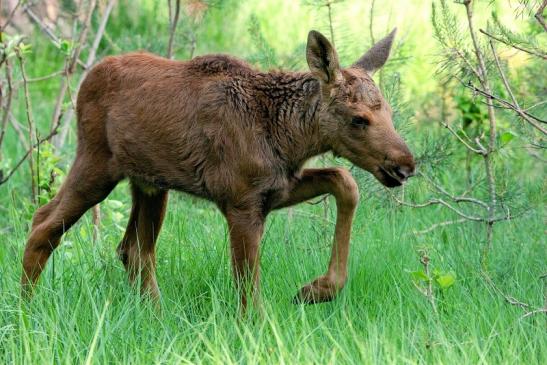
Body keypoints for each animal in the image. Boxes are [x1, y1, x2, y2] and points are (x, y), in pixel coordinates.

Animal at [21, 29, 416, 308]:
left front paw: (316, 289)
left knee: (132, 249)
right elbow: (248, 294)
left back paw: (158, 316)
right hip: (96, 164)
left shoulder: (275, 190)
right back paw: (26, 313)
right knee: (43, 224)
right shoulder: (241, 201)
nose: (405, 165)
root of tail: (86, 80)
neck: (290, 137)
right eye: (358, 119)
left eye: (389, 113)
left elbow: (344, 181)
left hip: (149, 184)